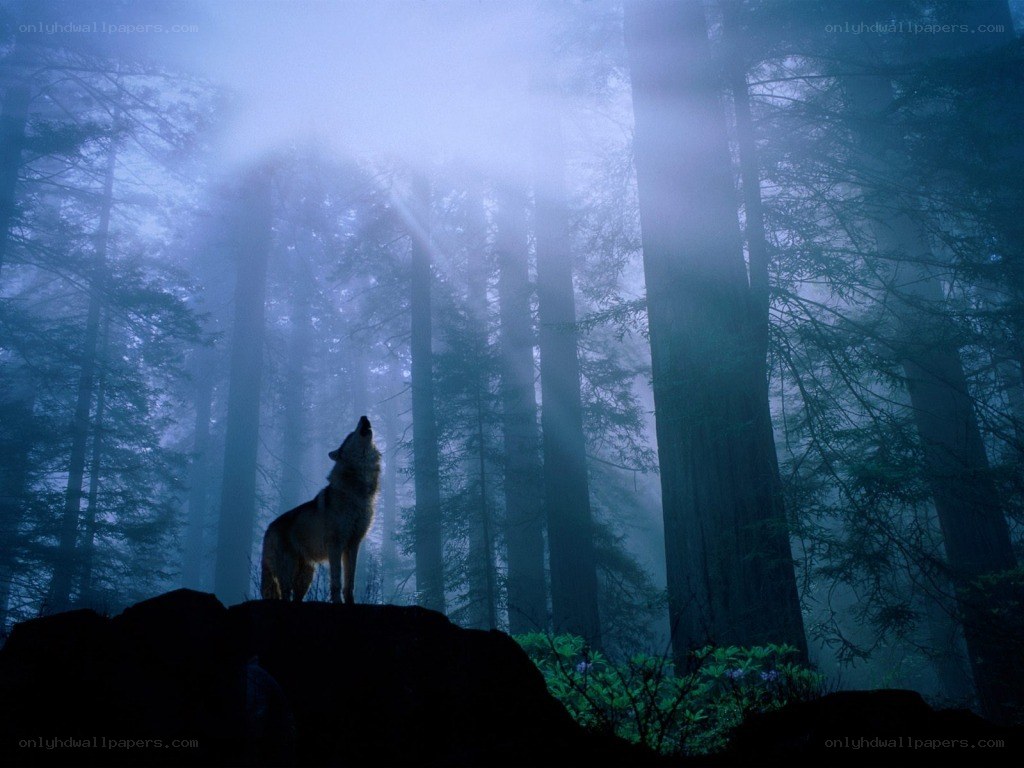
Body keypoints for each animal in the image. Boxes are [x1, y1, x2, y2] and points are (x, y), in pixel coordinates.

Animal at [260, 415, 381, 604]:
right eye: (350, 434)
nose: (364, 417)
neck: (357, 491)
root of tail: (268, 528)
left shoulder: (353, 545)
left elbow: (350, 583)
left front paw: (350, 603)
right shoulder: (335, 546)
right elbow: (336, 582)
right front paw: (338, 602)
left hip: (306, 577)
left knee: (296, 598)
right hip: (288, 573)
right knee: (285, 595)